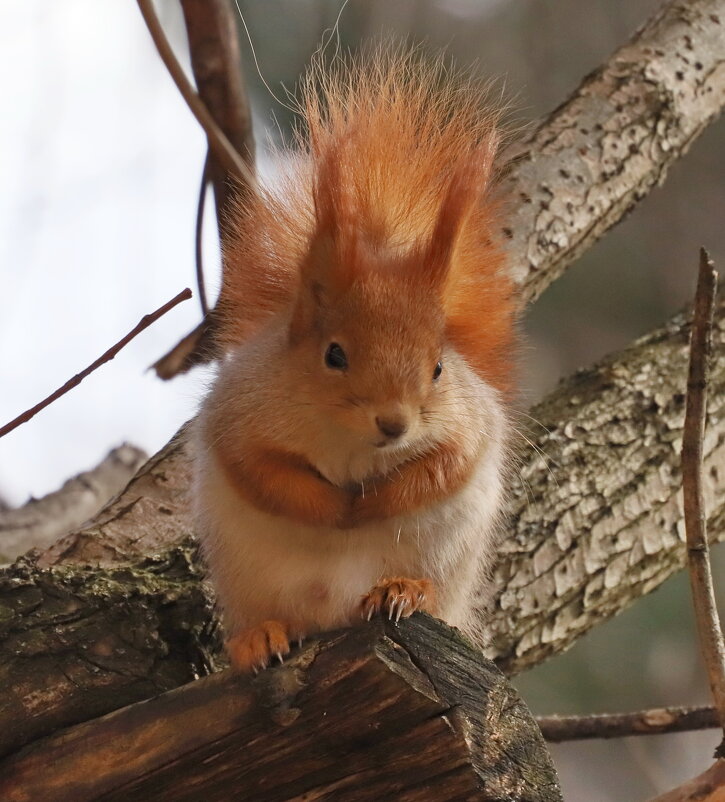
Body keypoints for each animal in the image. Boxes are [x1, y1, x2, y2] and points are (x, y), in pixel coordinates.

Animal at [192, 47, 516, 672]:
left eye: (439, 367)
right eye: (334, 354)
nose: (394, 424)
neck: (350, 444)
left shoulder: (471, 423)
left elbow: (449, 463)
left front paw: (374, 506)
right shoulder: (239, 411)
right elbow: (258, 470)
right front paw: (332, 511)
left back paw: (403, 591)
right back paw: (258, 639)